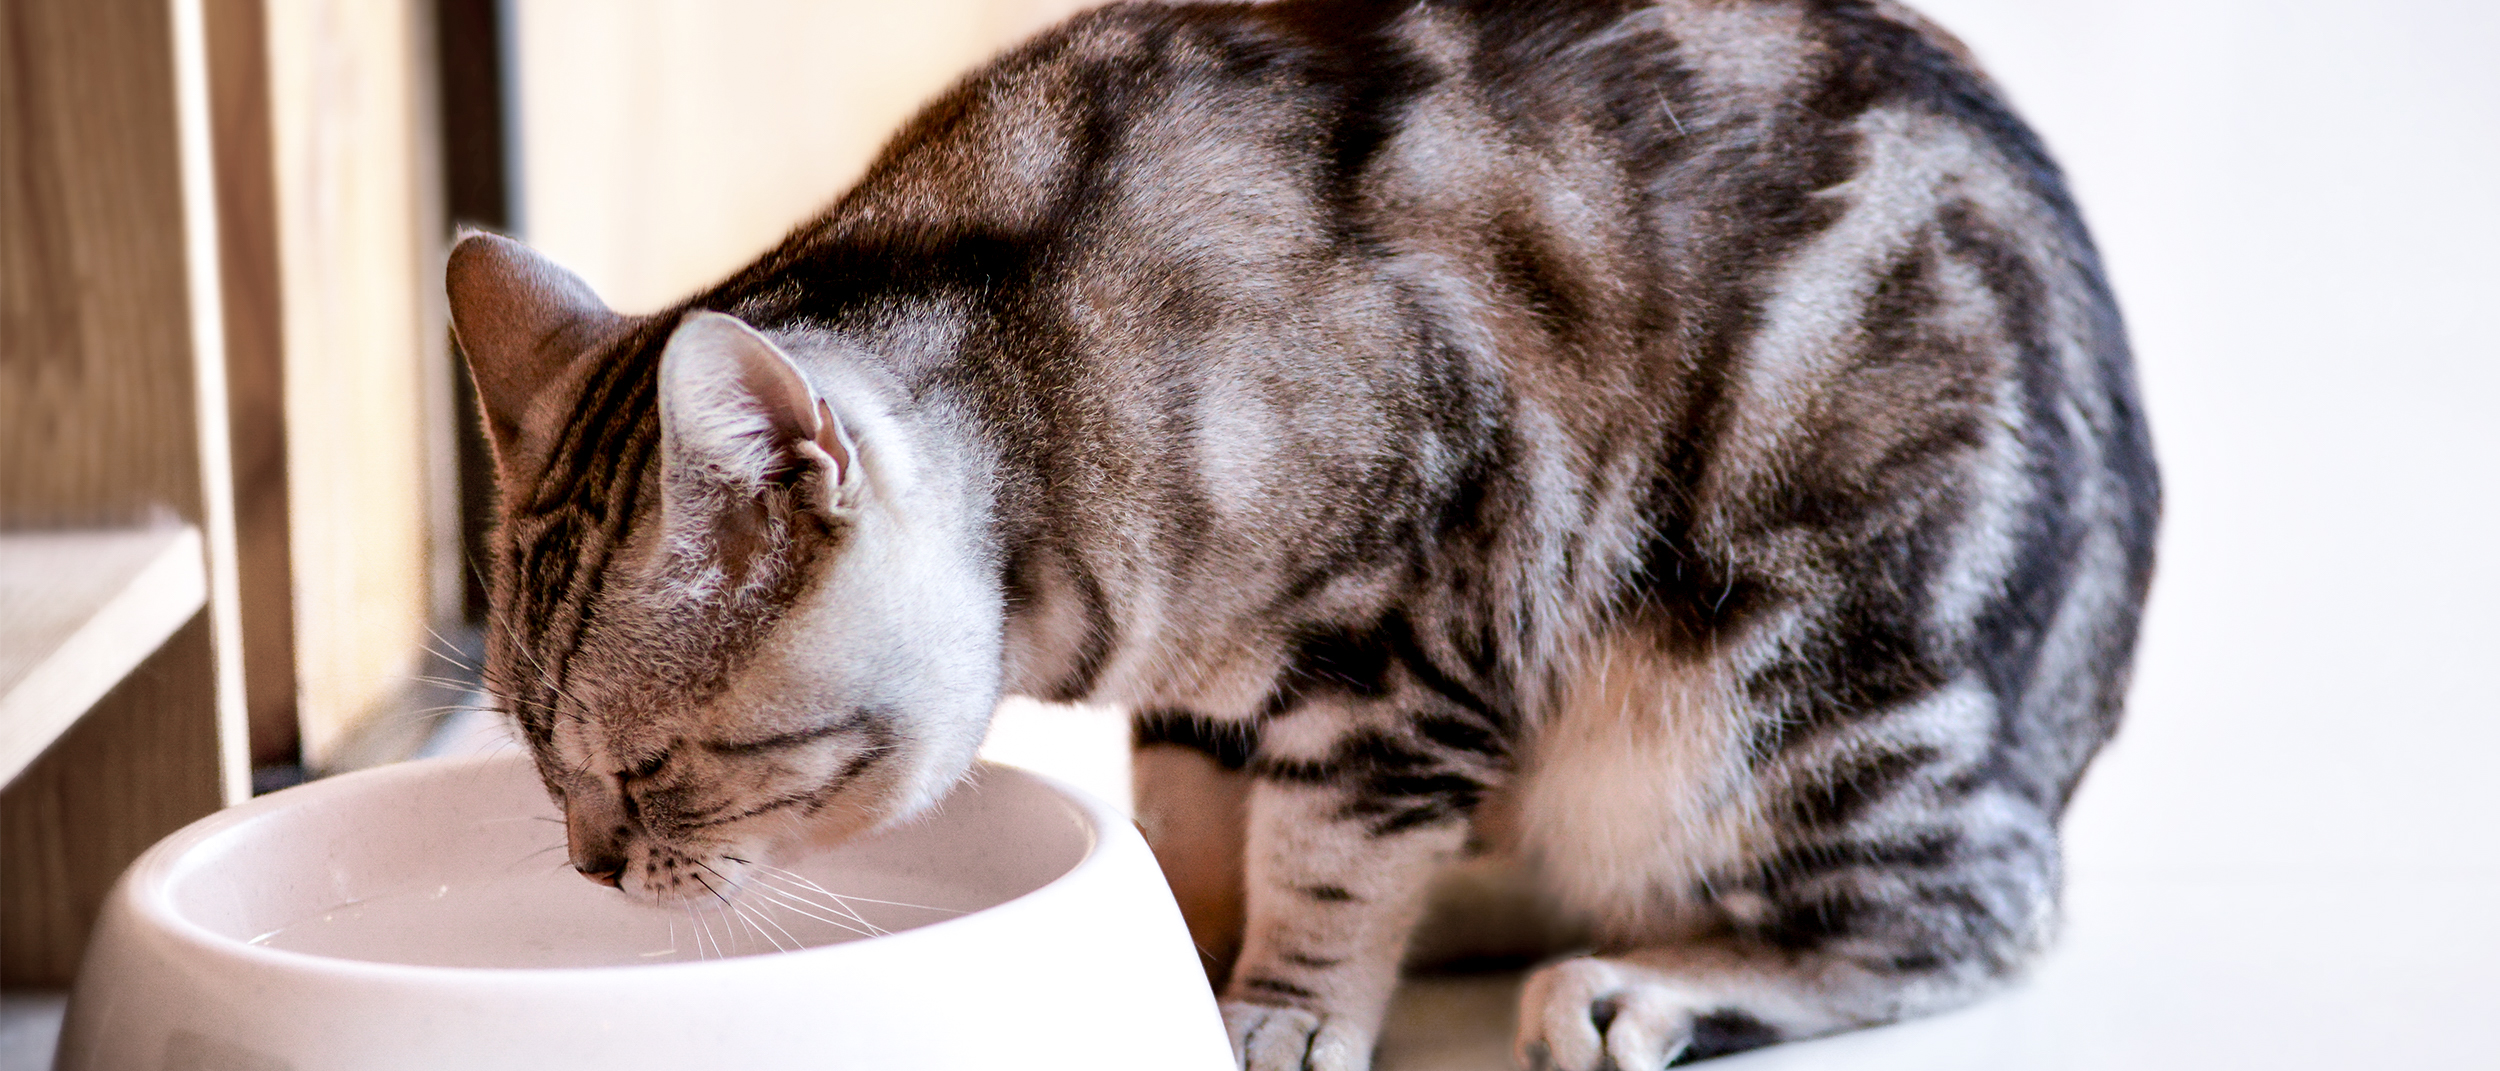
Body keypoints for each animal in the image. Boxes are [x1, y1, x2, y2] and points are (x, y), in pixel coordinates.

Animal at [450, 4, 2170, 1065]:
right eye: (533, 756)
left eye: (649, 767)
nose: (592, 864)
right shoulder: (1212, 685)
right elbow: (1203, 829)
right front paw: (1174, 941)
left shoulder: (1410, 631)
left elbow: (1329, 858)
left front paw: (1273, 1006)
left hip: (1769, 696)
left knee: (1967, 910)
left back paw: (1641, 981)